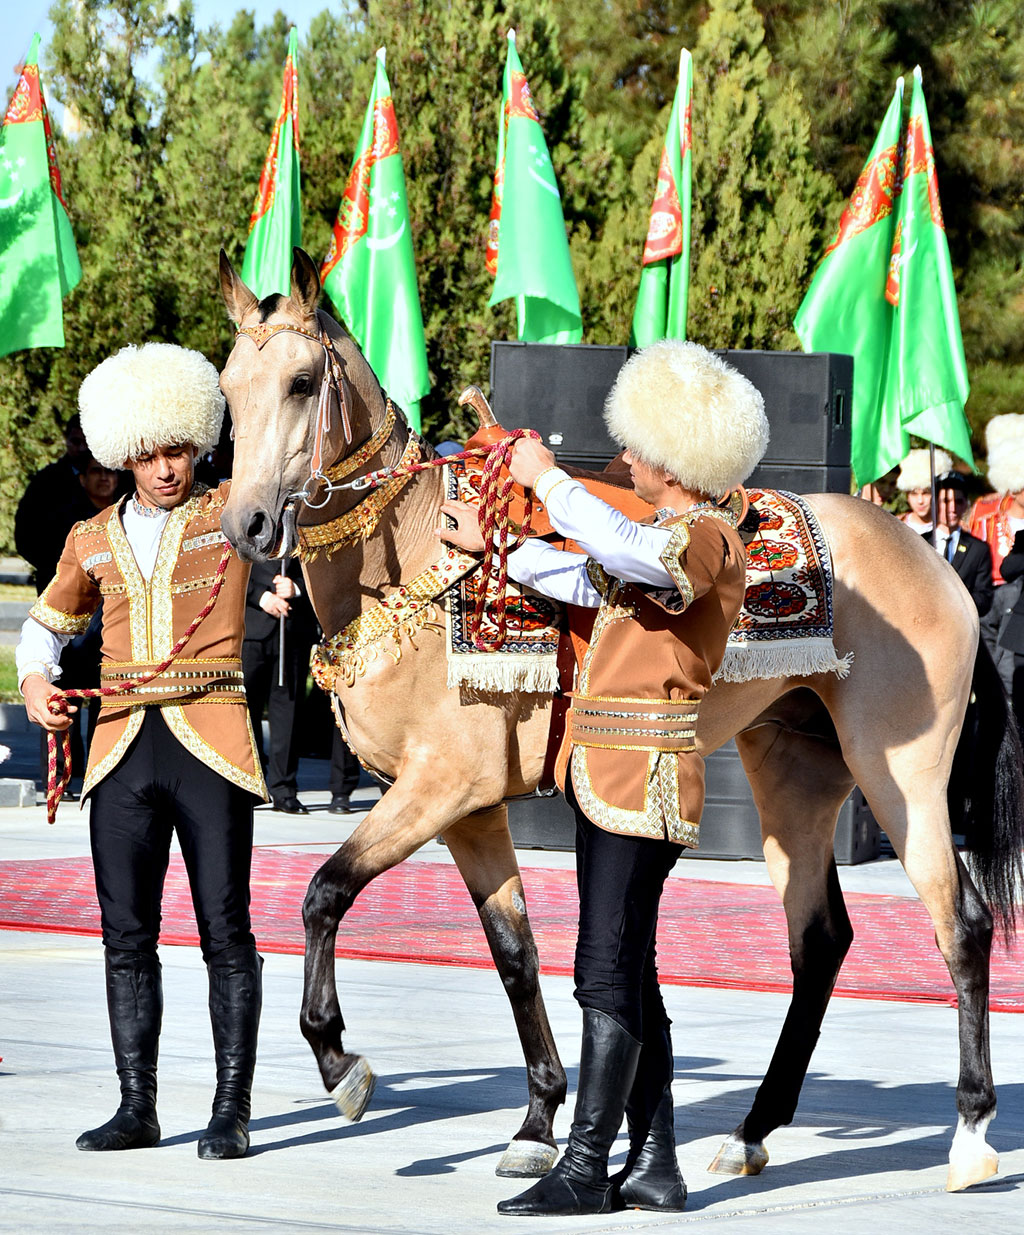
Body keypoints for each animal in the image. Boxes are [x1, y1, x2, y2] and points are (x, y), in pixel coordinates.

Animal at [216, 248, 1022, 1185]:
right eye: (229, 385)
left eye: (303, 381)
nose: (247, 524)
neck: (421, 561)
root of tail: (931, 559)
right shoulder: (468, 808)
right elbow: (515, 951)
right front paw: (537, 1119)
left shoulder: (440, 787)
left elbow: (324, 892)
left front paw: (340, 1060)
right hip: (792, 773)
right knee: (818, 938)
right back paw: (754, 1127)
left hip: (902, 778)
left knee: (960, 925)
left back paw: (971, 1131)